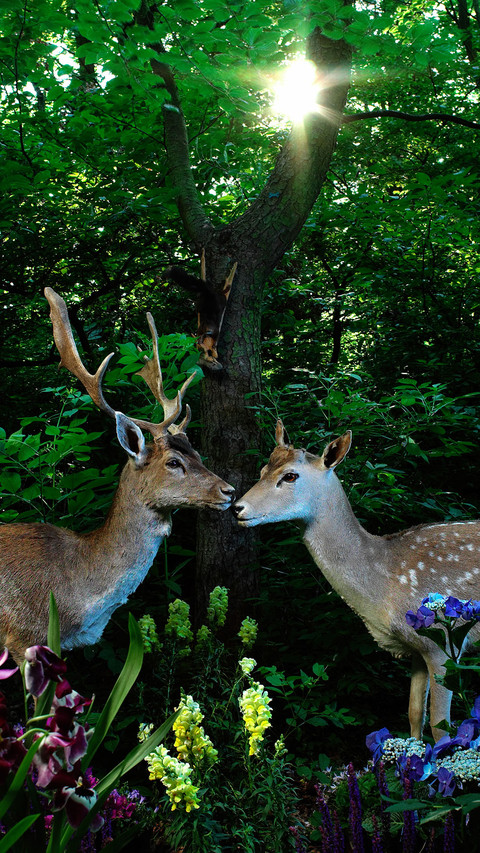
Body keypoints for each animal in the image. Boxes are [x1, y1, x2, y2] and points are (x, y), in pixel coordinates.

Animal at [232, 421, 480, 740]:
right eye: (263, 469)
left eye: (290, 475)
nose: (237, 508)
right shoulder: (417, 647)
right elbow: (414, 715)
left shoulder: (446, 641)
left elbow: (441, 729)